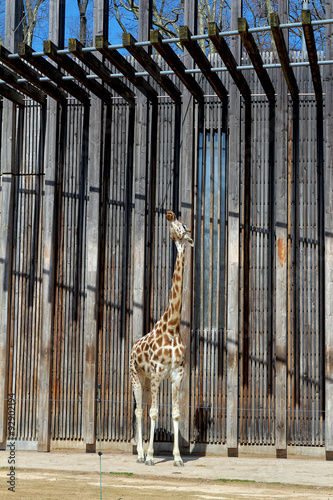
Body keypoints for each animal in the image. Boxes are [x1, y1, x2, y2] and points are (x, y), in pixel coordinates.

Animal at [129, 210, 193, 464]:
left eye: (183, 226)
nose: (169, 214)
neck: (172, 327)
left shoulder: (177, 374)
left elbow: (175, 414)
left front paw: (177, 457)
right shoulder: (157, 372)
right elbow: (154, 412)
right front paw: (149, 456)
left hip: (146, 381)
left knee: (141, 408)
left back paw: (141, 451)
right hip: (136, 376)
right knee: (139, 409)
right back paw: (139, 454)